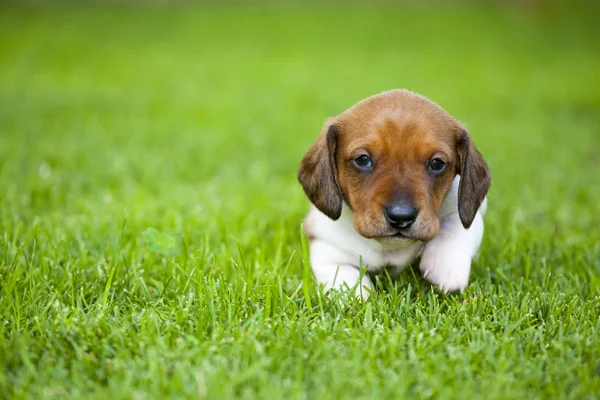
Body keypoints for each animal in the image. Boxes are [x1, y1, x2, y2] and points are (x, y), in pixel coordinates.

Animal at [298, 90, 490, 296]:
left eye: (437, 163)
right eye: (363, 159)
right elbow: (344, 274)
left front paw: (446, 265)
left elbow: (456, 224)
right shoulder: (325, 243)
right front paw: (357, 294)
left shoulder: (466, 208)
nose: (401, 217)